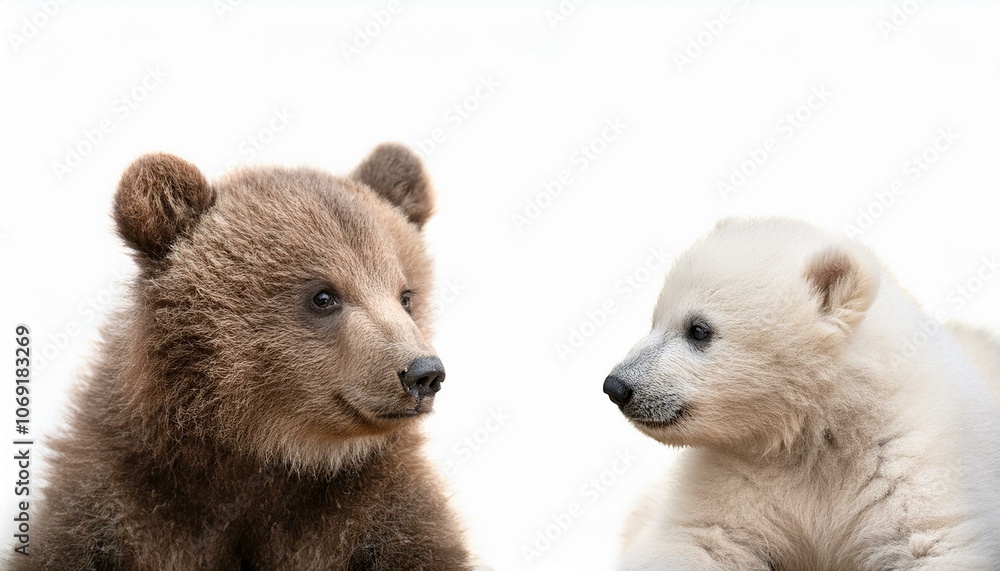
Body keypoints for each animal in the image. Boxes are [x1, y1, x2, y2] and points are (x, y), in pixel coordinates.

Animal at [602, 217, 1000, 570]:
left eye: (698, 329)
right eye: (654, 321)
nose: (616, 386)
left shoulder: (914, 467)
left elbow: (935, 541)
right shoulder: (737, 472)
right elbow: (695, 539)